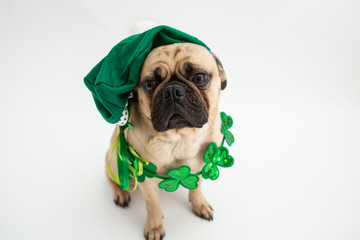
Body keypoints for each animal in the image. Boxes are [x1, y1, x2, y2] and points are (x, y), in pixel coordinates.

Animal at [105, 42, 226, 240]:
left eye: (199, 77)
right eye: (150, 84)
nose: (172, 91)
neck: (181, 137)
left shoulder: (201, 166)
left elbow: (197, 188)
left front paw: (199, 204)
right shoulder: (146, 180)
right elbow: (153, 205)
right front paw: (155, 227)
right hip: (116, 160)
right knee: (112, 178)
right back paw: (120, 192)